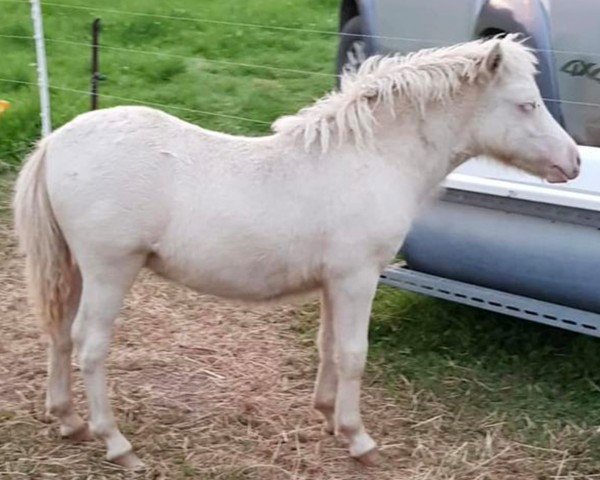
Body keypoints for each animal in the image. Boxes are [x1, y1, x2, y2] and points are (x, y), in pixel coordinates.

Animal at [12, 37, 576, 468]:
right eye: (527, 103)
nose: (571, 162)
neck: (370, 157)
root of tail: (56, 142)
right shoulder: (358, 278)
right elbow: (353, 354)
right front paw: (359, 438)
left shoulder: (333, 281)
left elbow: (328, 347)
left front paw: (327, 416)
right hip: (110, 270)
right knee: (89, 346)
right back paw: (116, 443)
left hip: (77, 268)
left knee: (59, 334)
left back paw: (69, 421)